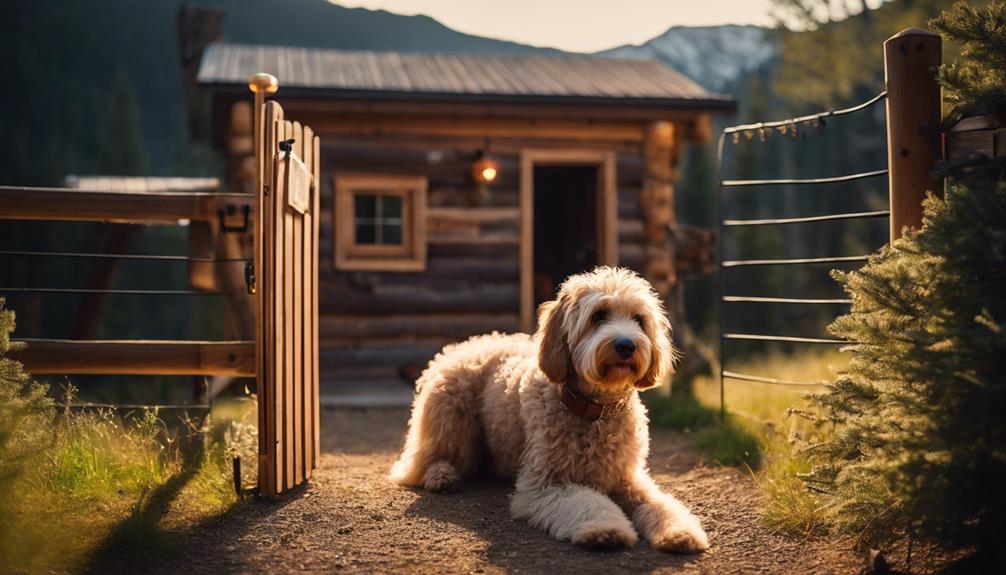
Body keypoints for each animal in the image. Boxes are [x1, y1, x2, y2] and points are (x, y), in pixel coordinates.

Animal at [388, 265, 712, 550]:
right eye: (599, 315)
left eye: (639, 319)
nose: (626, 345)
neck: (594, 411)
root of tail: (469, 343)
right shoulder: (546, 483)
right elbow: (588, 502)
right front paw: (606, 529)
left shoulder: (629, 479)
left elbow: (661, 504)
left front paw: (681, 532)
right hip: (451, 419)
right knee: (422, 459)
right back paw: (442, 476)